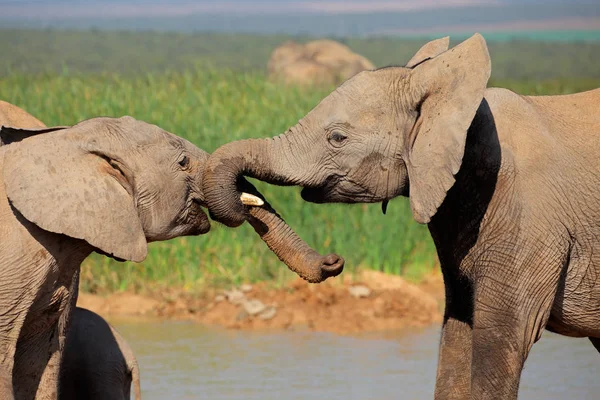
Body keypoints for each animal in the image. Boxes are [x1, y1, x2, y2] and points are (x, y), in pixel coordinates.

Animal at [200, 35, 600, 400]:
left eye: (337, 138)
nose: (334, 261)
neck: (455, 102)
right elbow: (458, 327)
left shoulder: (529, 217)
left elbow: (502, 336)